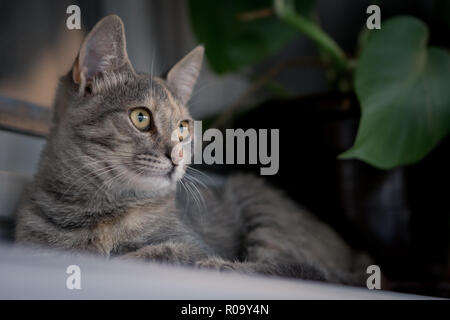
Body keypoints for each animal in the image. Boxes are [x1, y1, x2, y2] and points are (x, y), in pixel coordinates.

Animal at [14, 15, 372, 284]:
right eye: (141, 117)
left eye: (183, 127)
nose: (177, 157)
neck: (98, 209)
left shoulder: (191, 244)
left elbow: (155, 254)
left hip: (261, 207)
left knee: (306, 269)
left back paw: (224, 267)